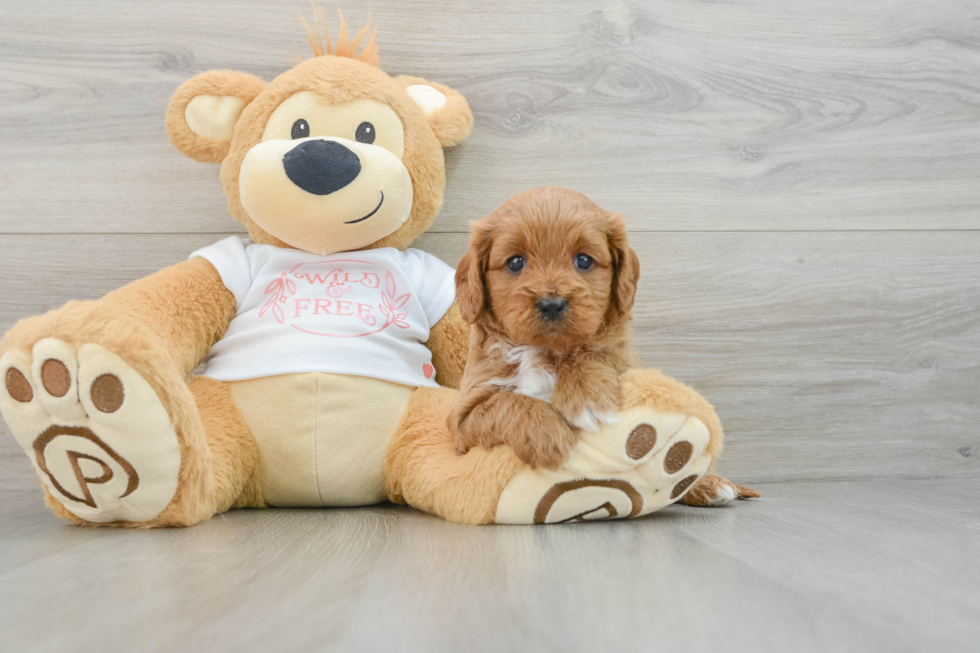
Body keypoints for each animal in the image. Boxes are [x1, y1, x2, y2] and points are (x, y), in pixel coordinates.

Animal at [448, 186, 640, 466]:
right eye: (515, 262)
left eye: (584, 260)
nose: (551, 304)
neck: (540, 350)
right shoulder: (461, 421)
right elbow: (504, 402)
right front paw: (548, 433)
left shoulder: (629, 362)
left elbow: (594, 353)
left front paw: (586, 394)